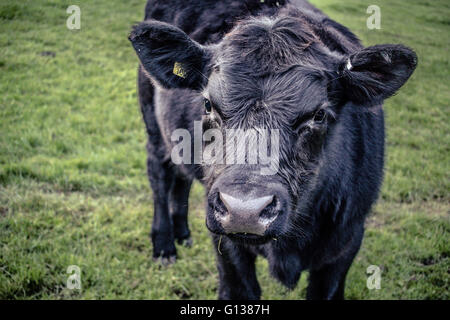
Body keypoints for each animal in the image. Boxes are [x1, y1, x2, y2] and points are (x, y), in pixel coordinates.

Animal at [128, 0, 416, 300]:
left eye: (319, 114)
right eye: (208, 104)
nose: (244, 211)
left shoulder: (348, 238)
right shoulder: (228, 249)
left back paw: (183, 234)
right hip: (154, 129)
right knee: (160, 178)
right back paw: (164, 246)